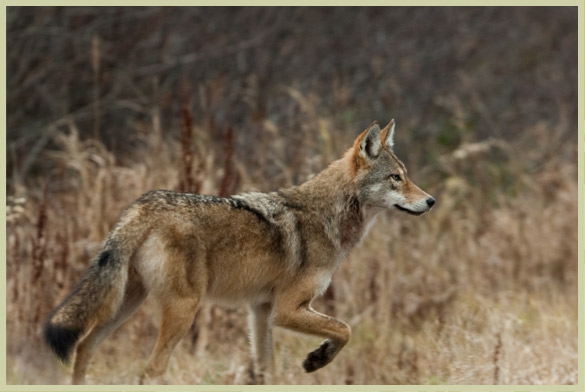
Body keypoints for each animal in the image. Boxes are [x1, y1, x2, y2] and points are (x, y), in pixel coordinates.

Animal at [43, 119, 434, 382]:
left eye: (405, 175)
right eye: (396, 178)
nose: (431, 200)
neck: (330, 216)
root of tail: (143, 205)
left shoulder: (260, 311)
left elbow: (267, 371)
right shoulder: (286, 310)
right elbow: (345, 329)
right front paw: (316, 360)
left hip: (127, 304)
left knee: (84, 348)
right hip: (182, 310)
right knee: (150, 369)